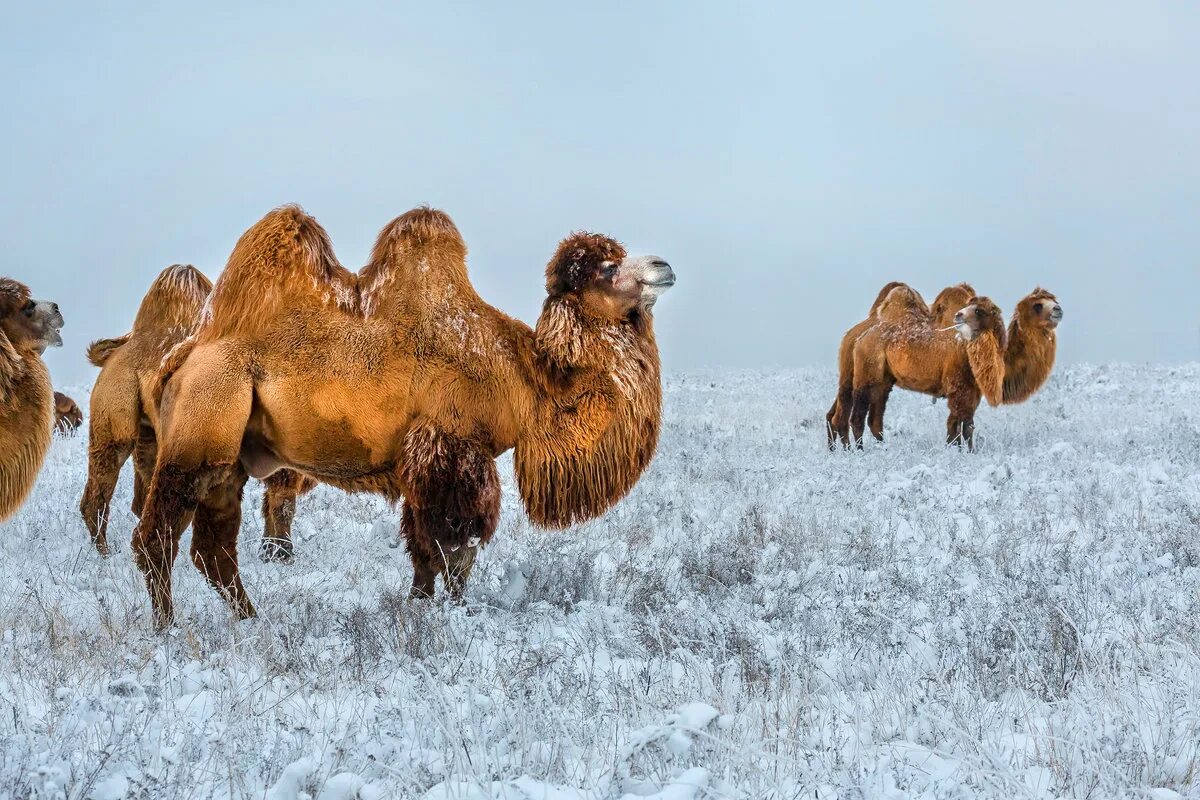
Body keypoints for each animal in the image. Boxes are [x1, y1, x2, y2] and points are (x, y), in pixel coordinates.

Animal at [80, 266, 314, 561]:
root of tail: (115, 353)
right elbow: (281, 496)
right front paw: (279, 554)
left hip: (147, 431)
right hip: (114, 416)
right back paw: (104, 553)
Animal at [849, 291, 1008, 450]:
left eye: (979, 310)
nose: (958, 314)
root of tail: (861, 338)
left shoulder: (973, 391)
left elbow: (968, 425)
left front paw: (970, 451)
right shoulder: (958, 387)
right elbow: (956, 424)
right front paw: (956, 449)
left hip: (883, 382)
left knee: (875, 419)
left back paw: (883, 448)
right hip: (866, 374)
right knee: (858, 416)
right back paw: (860, 450)